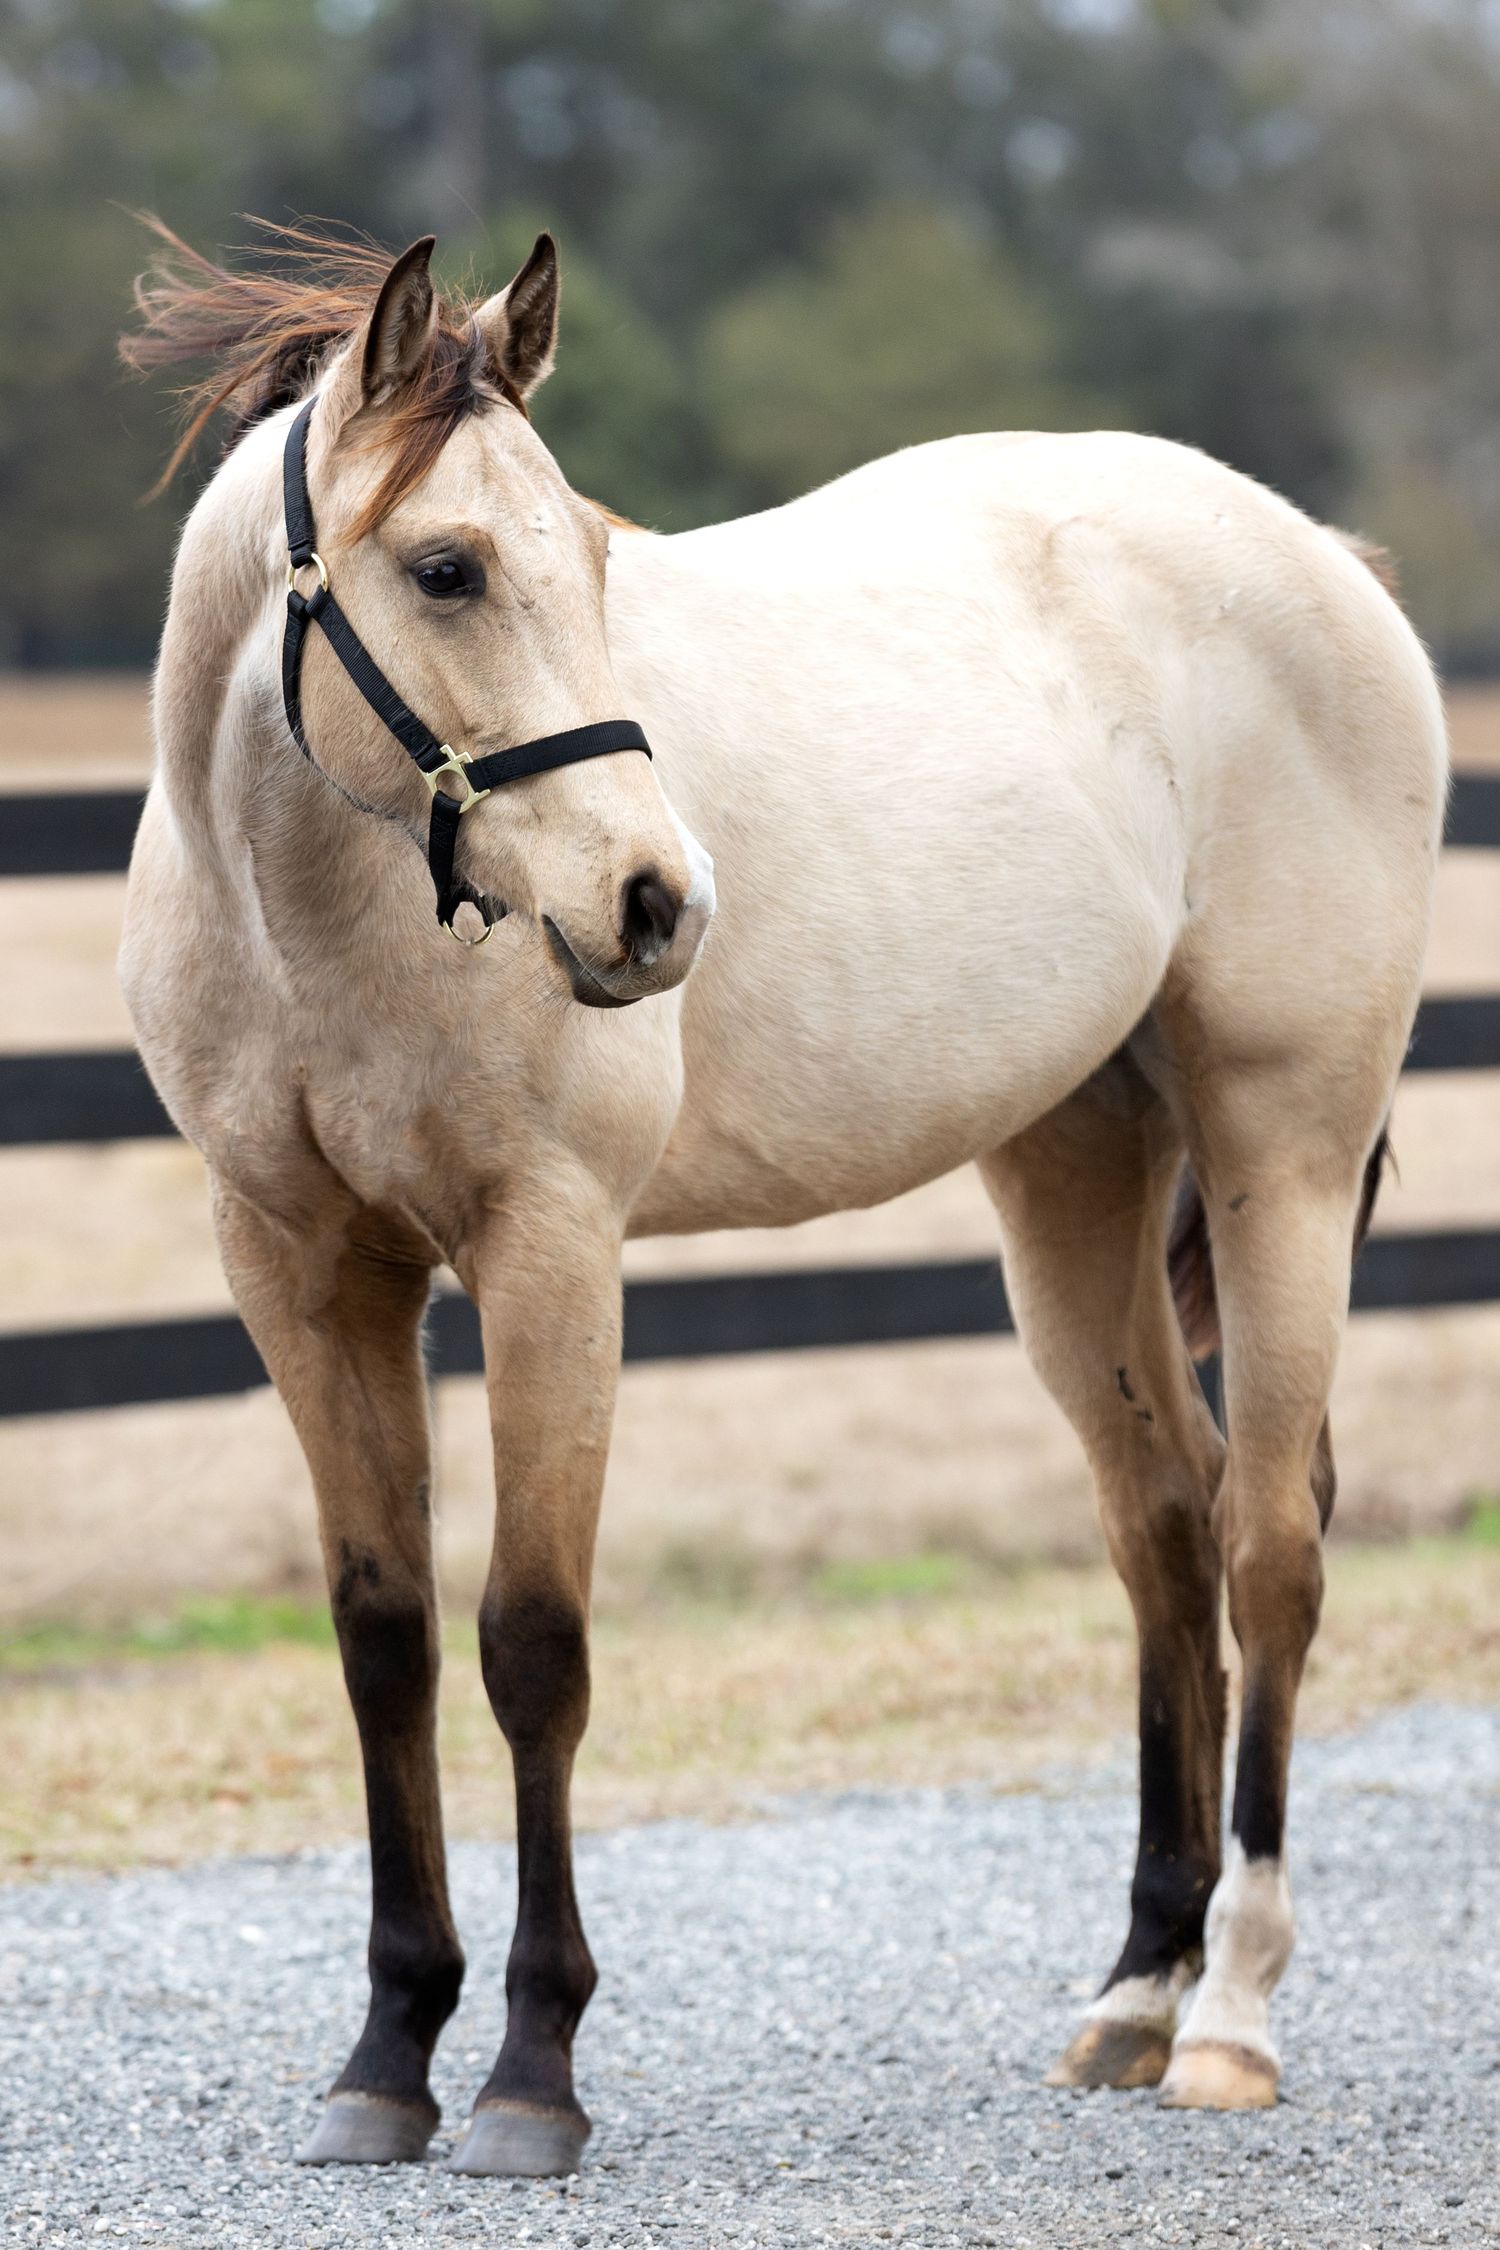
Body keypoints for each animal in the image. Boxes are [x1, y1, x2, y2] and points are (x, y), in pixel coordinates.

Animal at [118, 222, 1445, 2177]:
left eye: (594, 553)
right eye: (445, 567)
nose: (655, 903)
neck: (310, 911)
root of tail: (1326, 565)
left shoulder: (550, 1254)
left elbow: (532, 1643)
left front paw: (530, 2075)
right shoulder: (297, 1268)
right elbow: (385, 1643)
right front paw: (386, 2057)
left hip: (1283, 1144)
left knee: (1272, 1545)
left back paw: (1231, 2016)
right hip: (1074, 1166)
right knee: (1167, 1526)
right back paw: (1138, 1987)